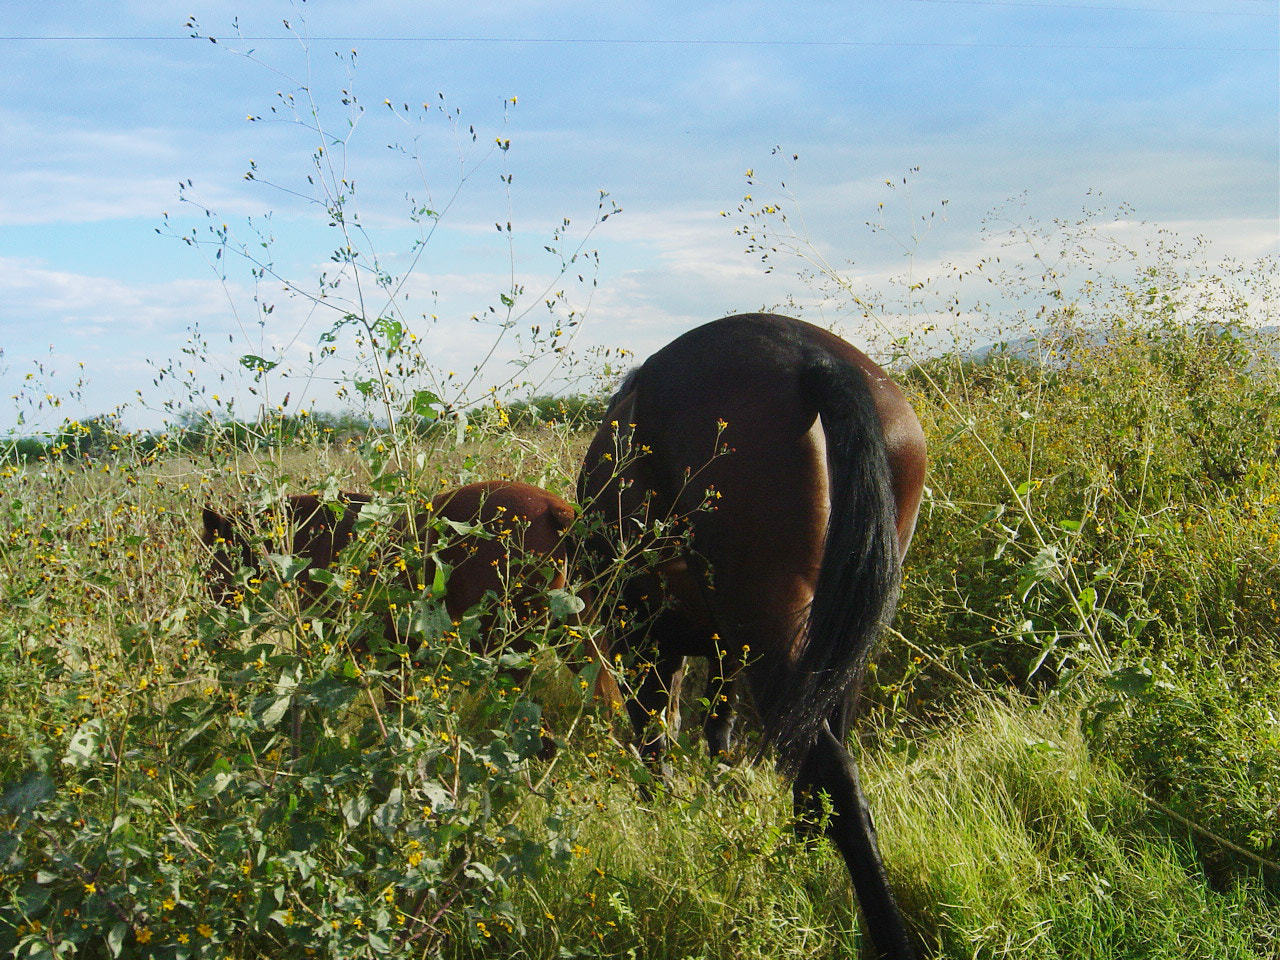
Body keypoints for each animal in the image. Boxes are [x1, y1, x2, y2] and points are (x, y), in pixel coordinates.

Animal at [201, 480, 619, 706]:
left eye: (211, 553)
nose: (211, 609)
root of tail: (557, 510)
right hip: (572, 627)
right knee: (604, 685)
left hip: (509, 644)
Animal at [577, 314, 926, 960]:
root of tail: (810, 357)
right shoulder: (722, 648)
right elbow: (716, 726)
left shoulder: (644, 639)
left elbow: (656, 732)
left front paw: (663, 812)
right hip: (830, 639)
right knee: (820, 748)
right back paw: (797, 852)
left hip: (765, 626)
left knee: (835, 776)